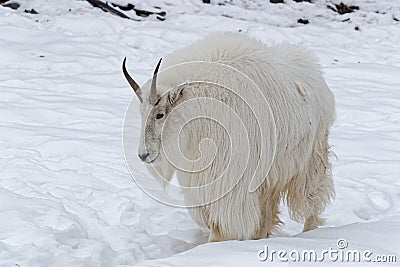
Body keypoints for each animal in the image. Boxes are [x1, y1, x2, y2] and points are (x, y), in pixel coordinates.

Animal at [121, 33, 334, 243]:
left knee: (312, 199)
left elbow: (222, 223)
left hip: (311, 161)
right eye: (141, 113)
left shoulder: (230, 177)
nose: (144, 155)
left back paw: (309, 232)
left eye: (160, 114)